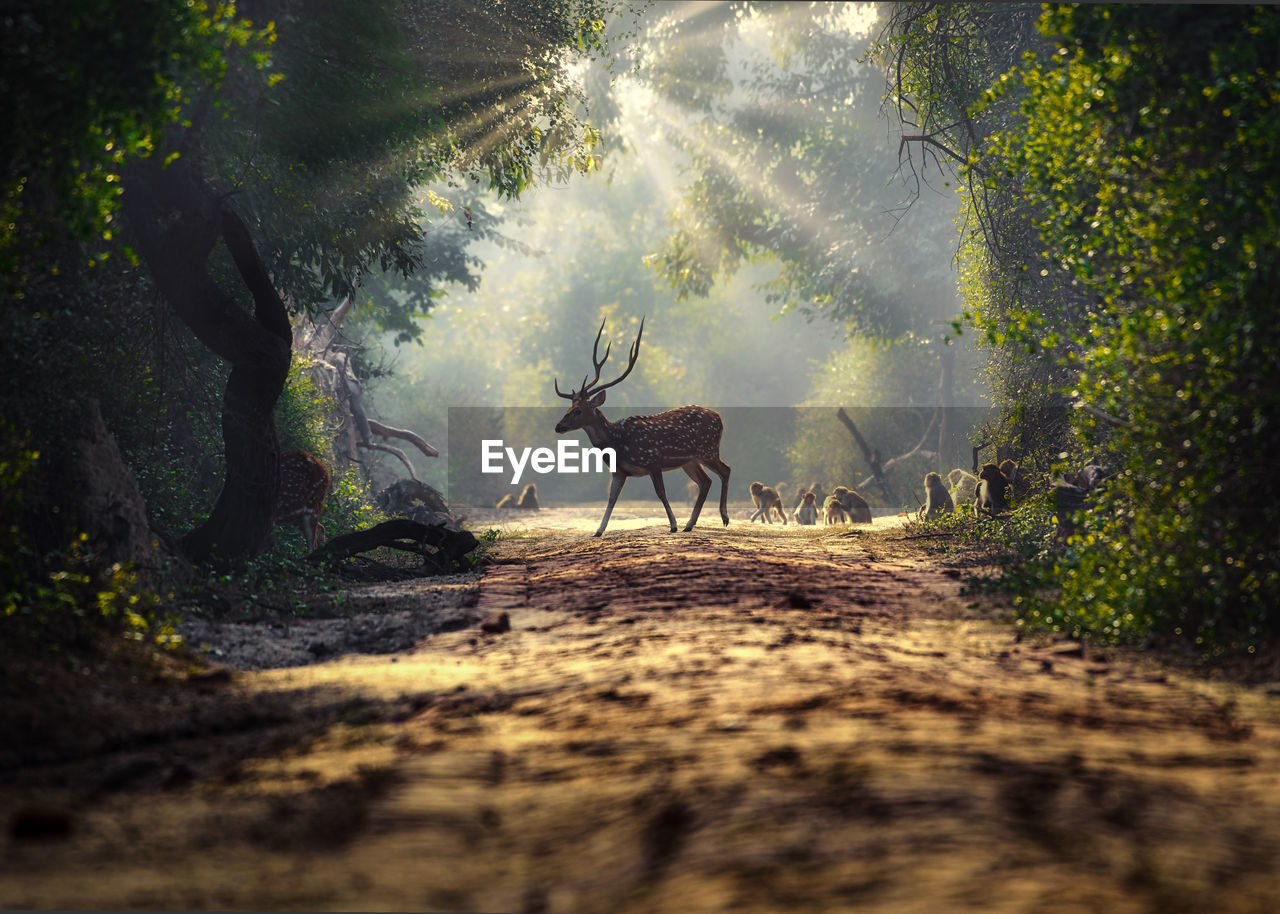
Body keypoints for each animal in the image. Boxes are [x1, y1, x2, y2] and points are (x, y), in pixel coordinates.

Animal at [552, 318, 732, 535]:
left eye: (578, 410)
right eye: (569, 407)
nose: (558, 426)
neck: (618, 443)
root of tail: (719, 417)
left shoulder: (653, 460)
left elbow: (661, 492)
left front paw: (673, 525)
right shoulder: (618, 471)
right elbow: (612, 498)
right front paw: (599, 530)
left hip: (708, 449)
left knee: (725, 470)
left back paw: (724, 517)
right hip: (690, 460)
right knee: (706, 481)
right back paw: (689, 524)